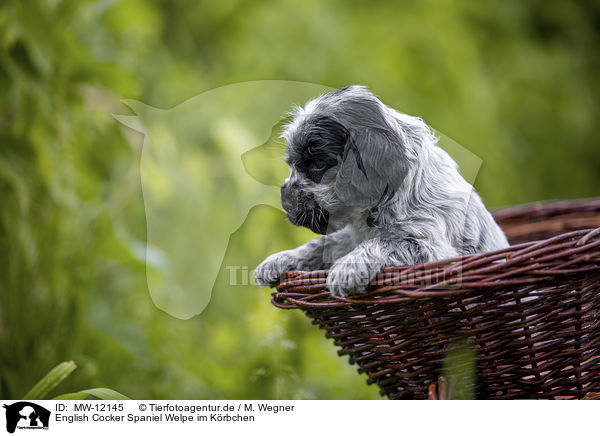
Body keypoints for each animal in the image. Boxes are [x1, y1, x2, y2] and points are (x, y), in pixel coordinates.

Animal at [255, 85, 508, 296]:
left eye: (317, 164)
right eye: (291, 164)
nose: (286, 201)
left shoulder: (431, 249)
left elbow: (384, 242)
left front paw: (347, 269)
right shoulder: (350, 236)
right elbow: (320, 244)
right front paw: (278, 259)